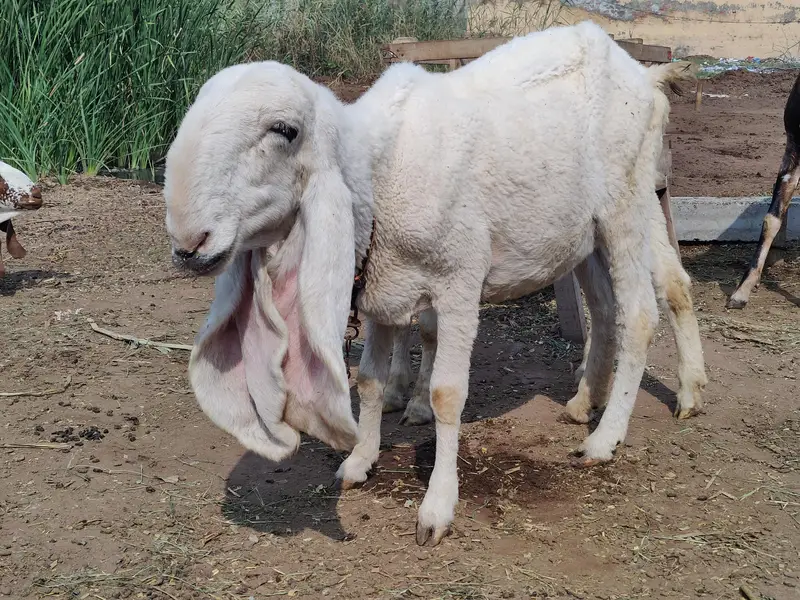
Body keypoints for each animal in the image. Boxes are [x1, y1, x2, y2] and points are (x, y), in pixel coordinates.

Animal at [163, 21, 704, 547]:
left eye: (284, 131)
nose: (189, 245)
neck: (382, 179)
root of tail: (643, 74)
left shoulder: (459, 280)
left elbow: (447, 393)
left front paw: (437, 506)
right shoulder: (380, 289)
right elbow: (370, 380)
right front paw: (360, 460)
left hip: (626, 204)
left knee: (640, 313)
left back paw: (607, 436)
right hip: (587, 229)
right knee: (618, 304)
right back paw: (594, 400)